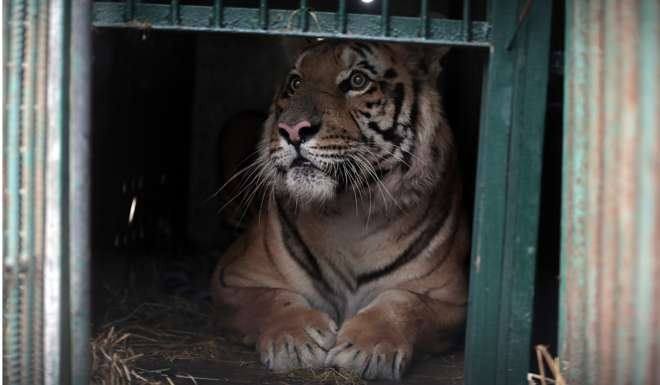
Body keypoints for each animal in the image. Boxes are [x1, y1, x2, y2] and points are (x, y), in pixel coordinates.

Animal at [211, 39, 470, 378]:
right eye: (295, 83)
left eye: (357, 81)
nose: (292, 129)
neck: (349, 211)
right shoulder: (232, 279)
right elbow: (269, 299)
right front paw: (295, 340)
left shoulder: (452, 298)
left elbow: (405, 304)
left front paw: (369, 348)